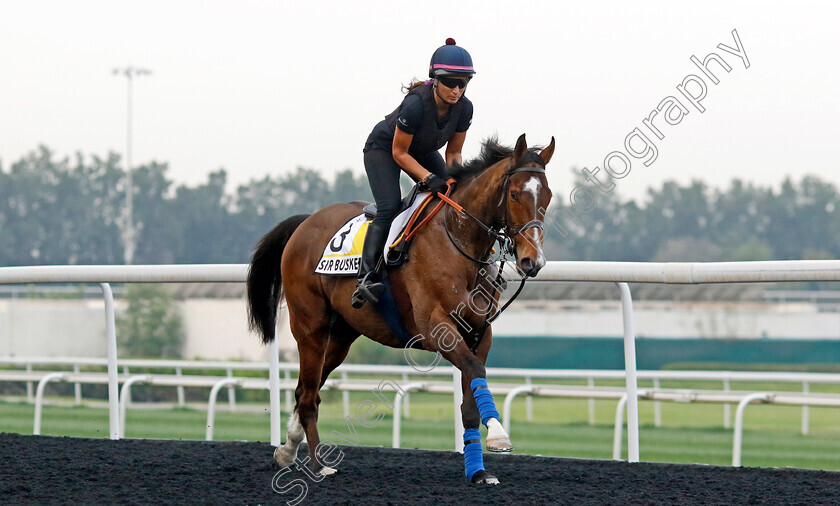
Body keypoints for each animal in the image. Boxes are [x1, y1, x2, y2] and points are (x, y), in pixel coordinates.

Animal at [246, 134, 556, 486]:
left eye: (547, 196)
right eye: (515, 194)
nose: (532, 261)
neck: (458, 240)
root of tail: (305, 223)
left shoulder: (479, 332)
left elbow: (469, 404)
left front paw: (478, 471)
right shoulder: (436, 328)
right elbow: (476, 371)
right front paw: (499, 435)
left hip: (340, 337)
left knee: (305, 390)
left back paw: (287, 450)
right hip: (311, 328)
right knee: (309, 396)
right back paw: (317, 464)